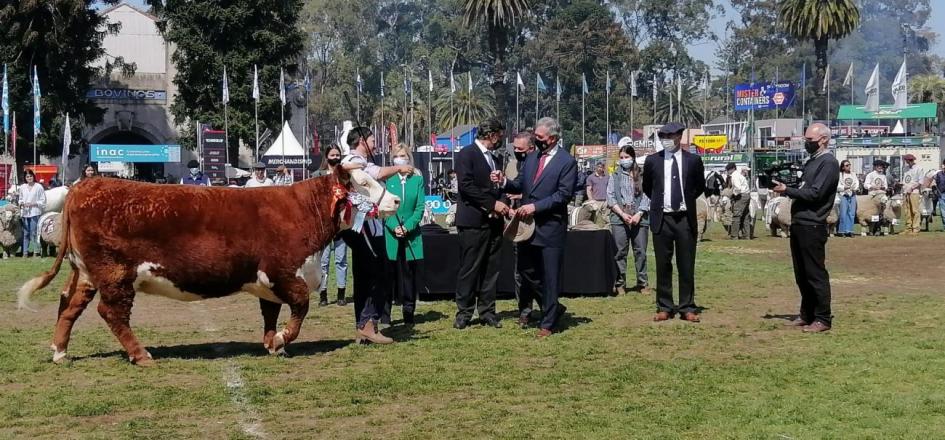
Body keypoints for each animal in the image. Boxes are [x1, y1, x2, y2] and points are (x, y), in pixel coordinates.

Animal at [19, 167, 394, 366]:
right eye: (363, 184)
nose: (393, 200)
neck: (303, 211)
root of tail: (85, 184)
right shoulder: (283, 272)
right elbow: (300, 307)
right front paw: (282, 340)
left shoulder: (267, 281)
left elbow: (270, 313)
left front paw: (271, 343)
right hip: (114, 273)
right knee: (111, 312)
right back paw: (141, 354)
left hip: (86, 272)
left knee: (69, 305)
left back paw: (60, 352)